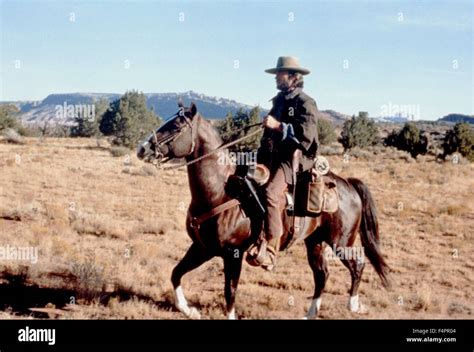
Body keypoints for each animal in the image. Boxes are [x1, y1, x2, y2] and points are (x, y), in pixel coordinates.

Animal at [136, 103, 388, 320]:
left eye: (177, 126)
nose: (143, 148)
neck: (220, 193)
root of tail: (348, 184)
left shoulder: (233, 253)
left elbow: (230, 292)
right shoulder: (202, 248)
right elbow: (176, 273)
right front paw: (189, 310)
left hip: (341, 242)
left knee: (358, 265)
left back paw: (353, 305)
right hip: (315, 242)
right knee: (321, 275)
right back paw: (310, 314)